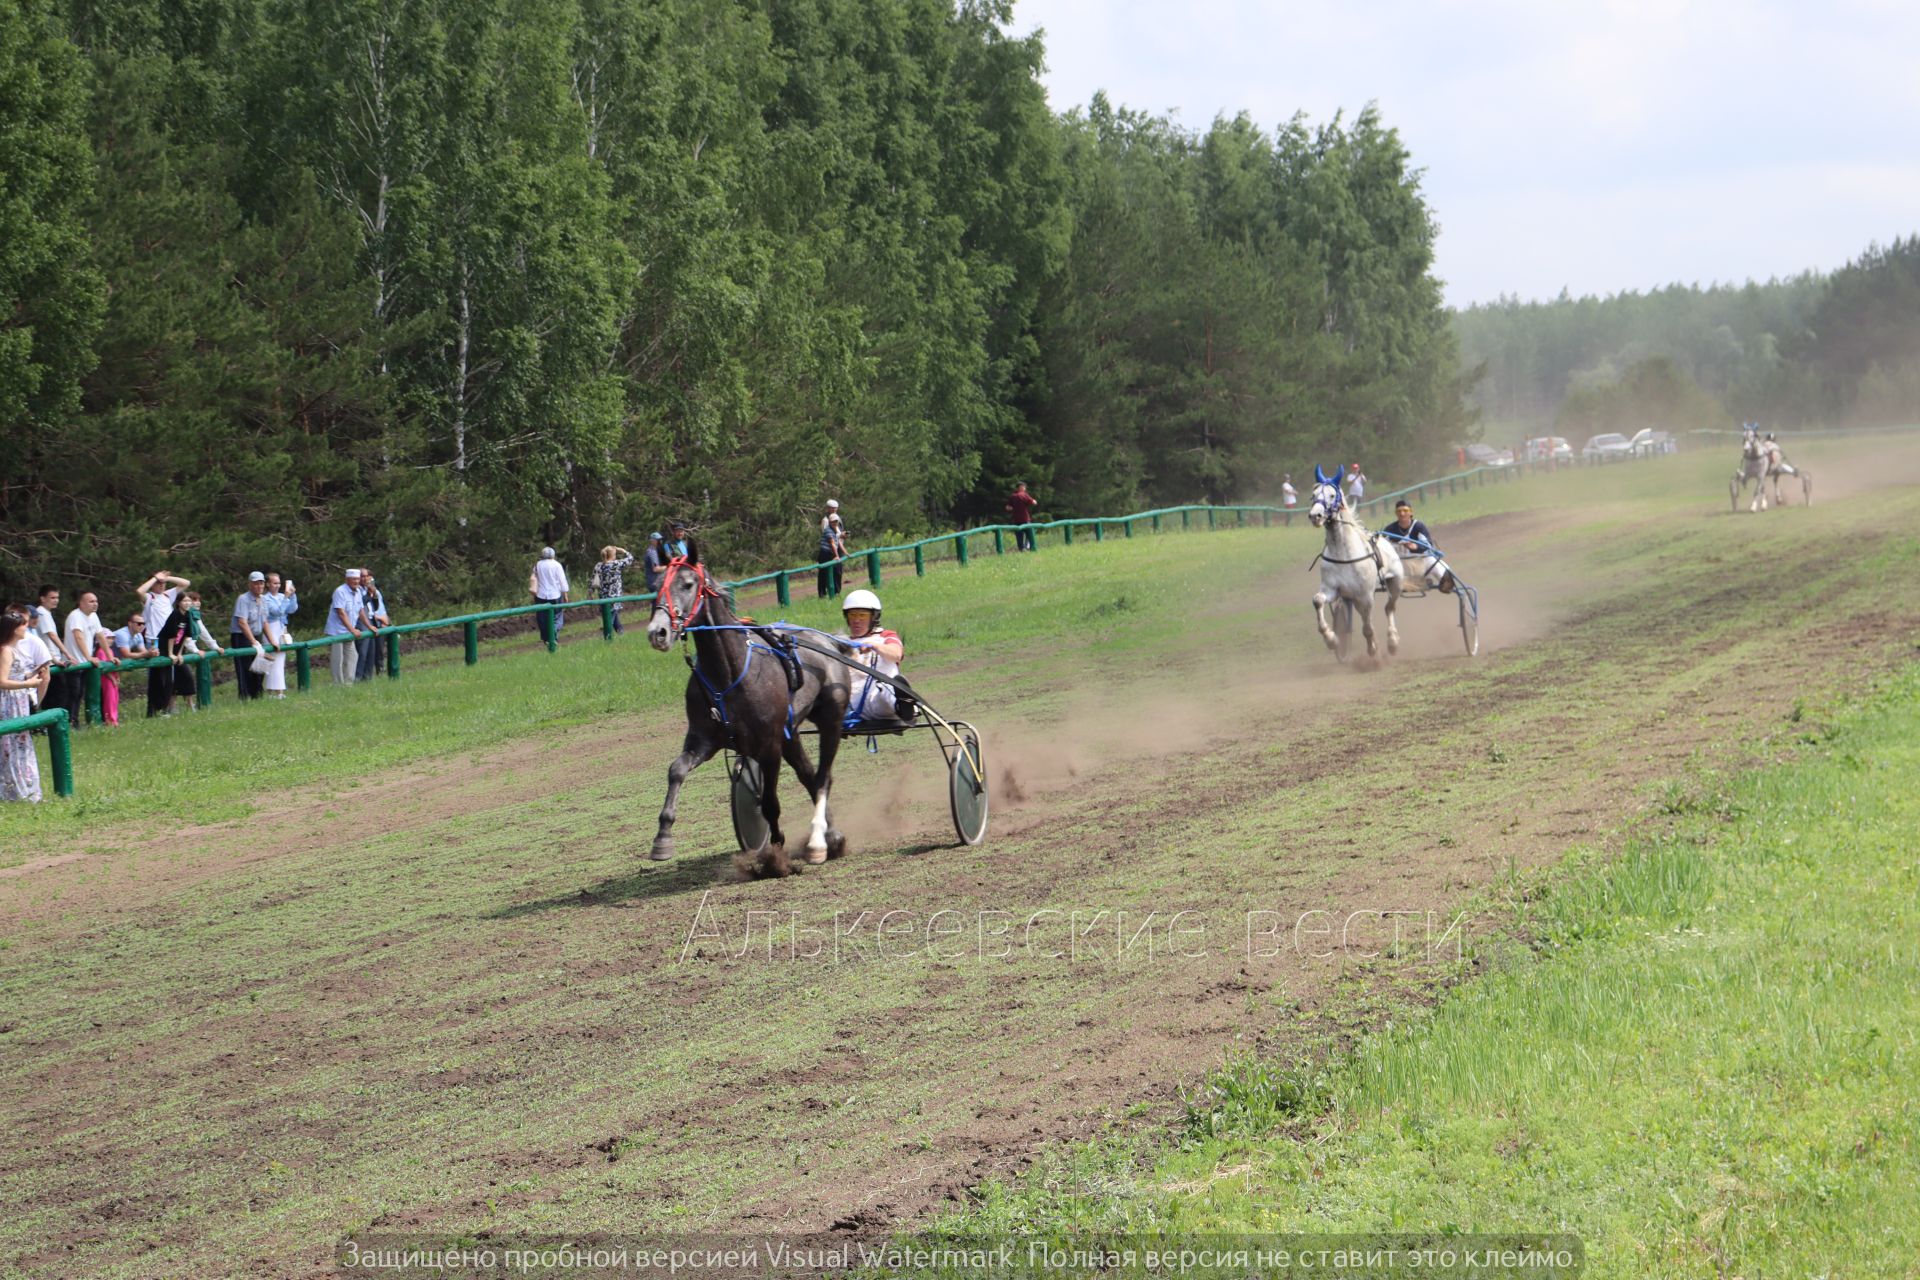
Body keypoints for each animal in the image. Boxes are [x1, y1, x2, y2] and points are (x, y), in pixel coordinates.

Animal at [648, 545, 852, 875]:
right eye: (655, 587)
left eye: (688, 584)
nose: (658, 632)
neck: (727, 673)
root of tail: (830, 642)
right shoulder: (703, 740)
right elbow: (676, 771)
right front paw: (663, 838)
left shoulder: (769, 746)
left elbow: (768, 802)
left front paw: (775, 855)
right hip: (790, 734)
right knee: (809, 775)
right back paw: (827, 834)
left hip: (830, 720)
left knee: (822, 778)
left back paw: (824, 839)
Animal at [1305, 468, 1413, 667]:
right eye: (1313, 495)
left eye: (1332, 495)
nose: (1315, 516)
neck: (1343, 552)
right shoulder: (1332, 590)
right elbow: (1318, 601)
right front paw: (1331, 638)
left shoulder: (1365, 595)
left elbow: (1368, 627)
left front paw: (1374, 652)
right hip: (1353, 598)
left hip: (1395, 584)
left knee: (1389, 608)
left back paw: (1392, 642)